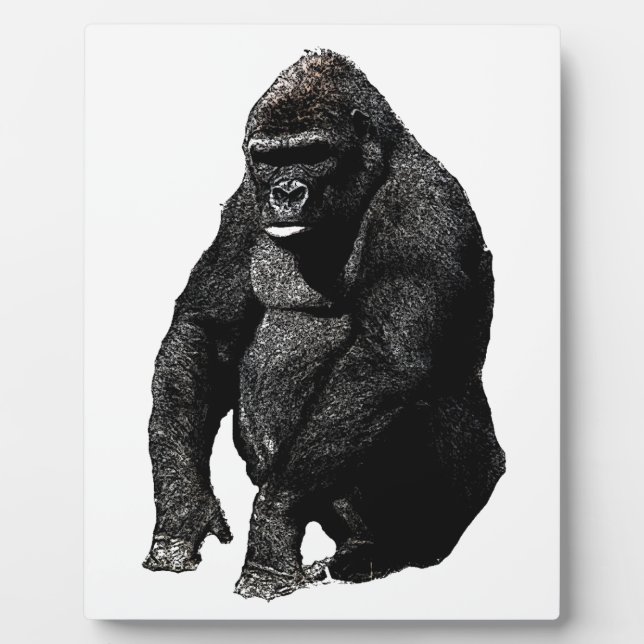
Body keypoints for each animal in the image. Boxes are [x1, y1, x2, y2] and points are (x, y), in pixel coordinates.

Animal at [142, 50, 506, 600]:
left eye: (314, 153)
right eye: (269, 159)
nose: (286, 192)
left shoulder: (423, 206)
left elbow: (389, 363)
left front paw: (272, 526)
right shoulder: (246, 198)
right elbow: (206, 328)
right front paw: (184, 506)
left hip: (466, 496)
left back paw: (387, 551)